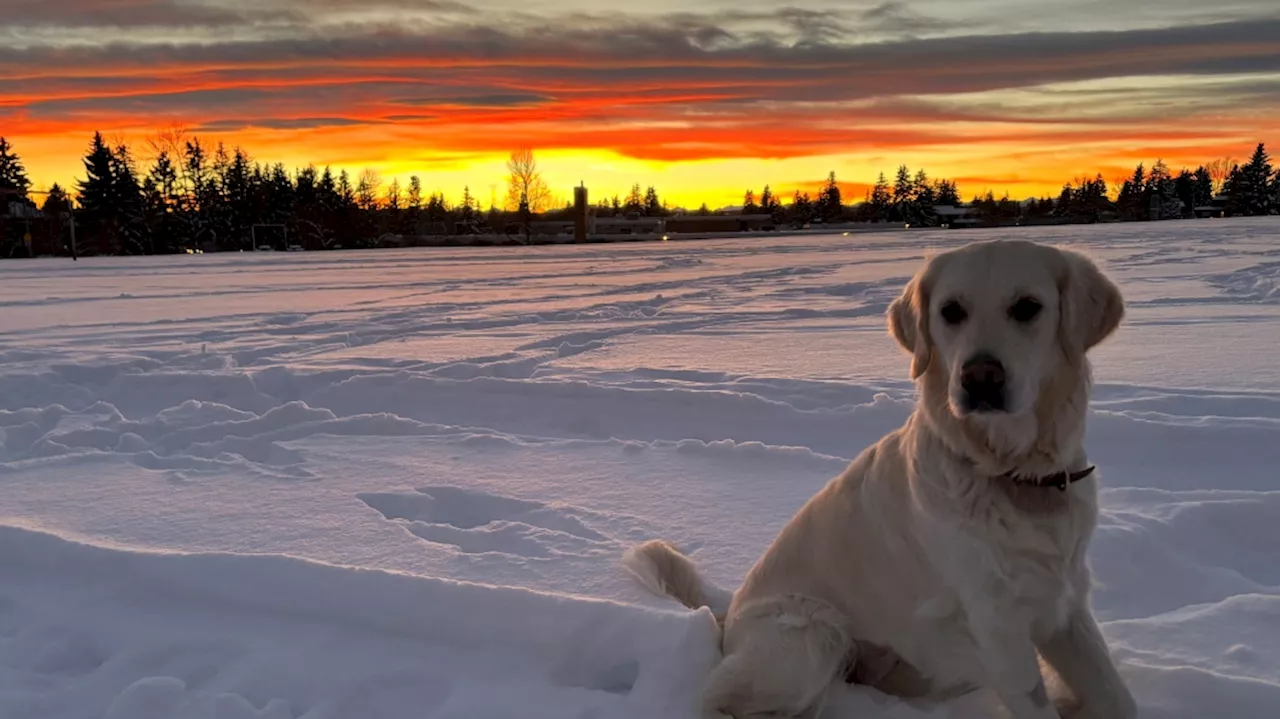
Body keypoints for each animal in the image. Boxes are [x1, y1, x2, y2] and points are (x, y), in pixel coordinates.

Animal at [624, 237, 1136, 711]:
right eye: (951, 311)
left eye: (1028, 307)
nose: (980, 378)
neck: (1015, 475)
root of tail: (729, 618)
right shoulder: (997, 628)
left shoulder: (1066, 604)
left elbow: (1117, 696)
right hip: (812, 638)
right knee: (718, 698)